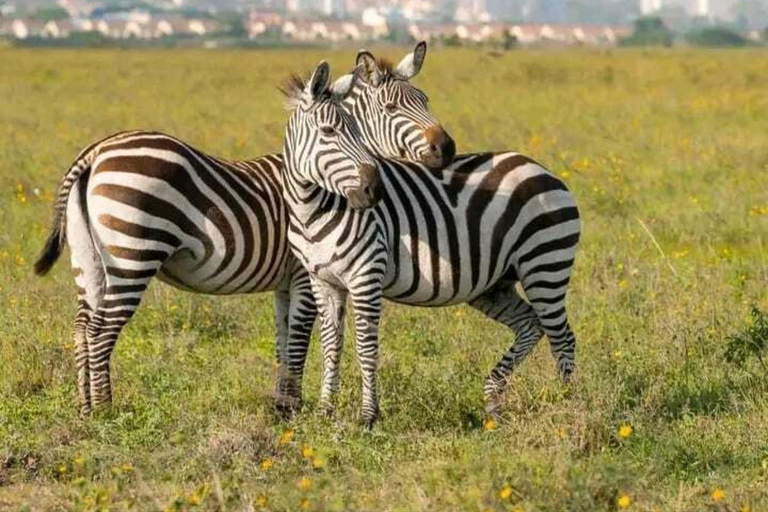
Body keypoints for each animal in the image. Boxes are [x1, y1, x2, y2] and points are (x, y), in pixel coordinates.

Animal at [34, 44, 456, 418]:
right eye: (391, 108)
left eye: (426, 99)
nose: (447, 149)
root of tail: (95, 152)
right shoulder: (304, 274)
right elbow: (300, 338)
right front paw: (292, 407)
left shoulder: (285, 282)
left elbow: (284, 340)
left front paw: (282, 404)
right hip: (132, 256)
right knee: (100, 331)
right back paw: (105, 411)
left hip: (88, 261)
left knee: (81, 327)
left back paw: (84, 408)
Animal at [284, 61, 584, 428]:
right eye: (328, 132)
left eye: (357, 131)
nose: (374, 191)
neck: (313, 210)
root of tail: (543, 170)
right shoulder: (322, 281)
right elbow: (330, 345)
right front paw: (325, 411)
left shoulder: (366, 277)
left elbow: (365, 347)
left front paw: (368, 415)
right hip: (494, 285)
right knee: (531, 324)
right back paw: (493, 400)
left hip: (546, 265)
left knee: (562, 337)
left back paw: (567, 404)